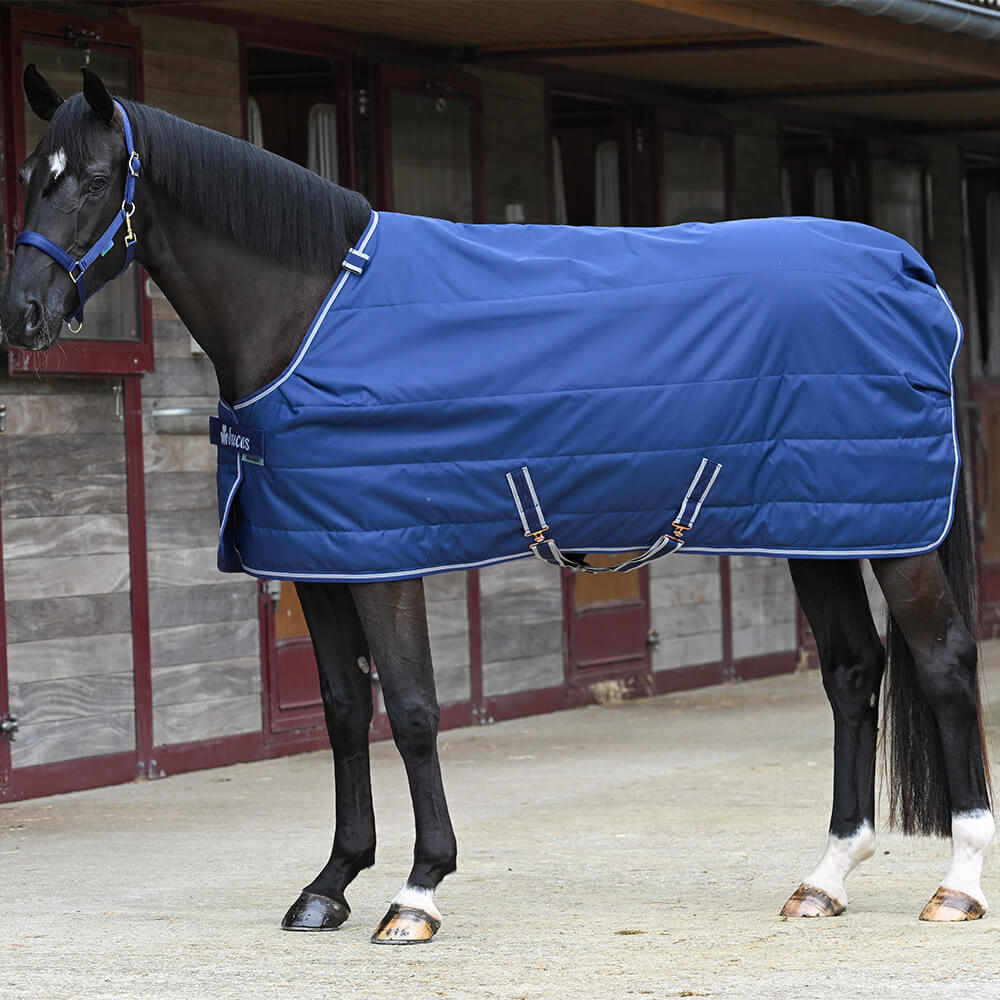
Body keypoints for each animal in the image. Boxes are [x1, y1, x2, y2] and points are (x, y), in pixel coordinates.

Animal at [0, 65, 993, 943]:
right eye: (29, 175)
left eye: (94, 181)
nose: (23, 315)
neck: (309, 312)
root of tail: (908, 265)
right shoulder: (316, 556)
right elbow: (343, 710)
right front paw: (330, 884)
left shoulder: (384, 558)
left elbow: (411, 710)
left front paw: (417, 892)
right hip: (820, 527)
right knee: (854, 671)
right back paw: (824, 879)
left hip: (895, 537)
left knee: (943, 663)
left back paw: (957, 884)